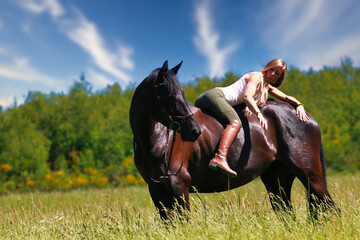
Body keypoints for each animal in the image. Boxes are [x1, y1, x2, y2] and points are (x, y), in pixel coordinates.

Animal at [129, 61, 338, 220]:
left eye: (181, 92)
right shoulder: (157, 190)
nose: (194, 131)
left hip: (310, 175)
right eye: (170, 95)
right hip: (277, 178)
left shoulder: (179, 185)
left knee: (330, 206)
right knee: (288, 212)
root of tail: (307, 117)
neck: (158, 139)